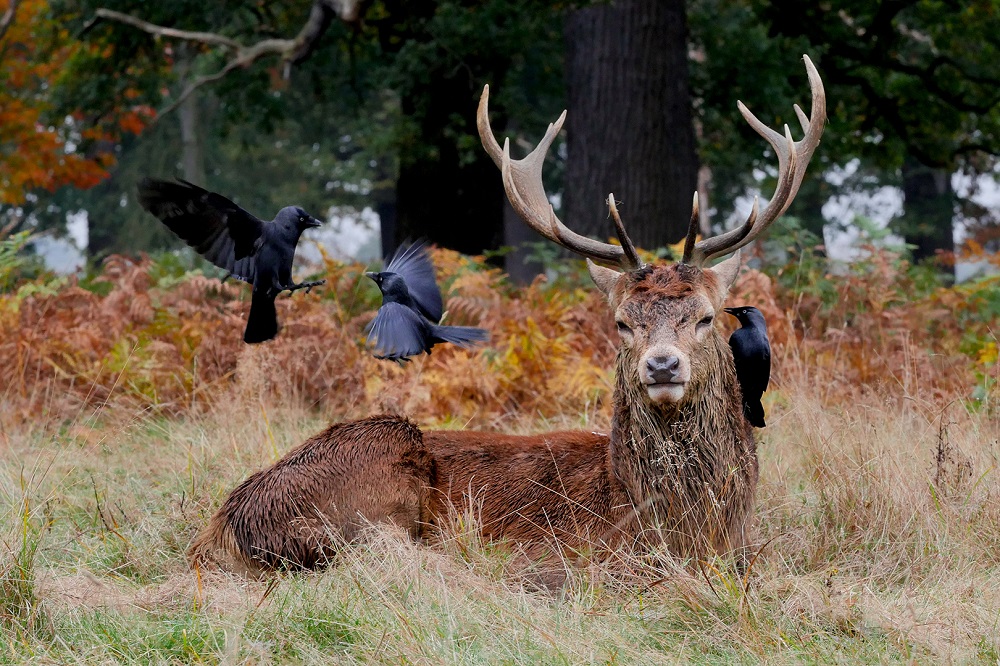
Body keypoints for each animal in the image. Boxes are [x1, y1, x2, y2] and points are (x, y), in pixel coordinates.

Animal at [189, 54, 828, 572]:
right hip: (378, 468)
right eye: (622, 322)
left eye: (704, 318)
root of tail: (221, 529)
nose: (663, 366)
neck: (681, 528)